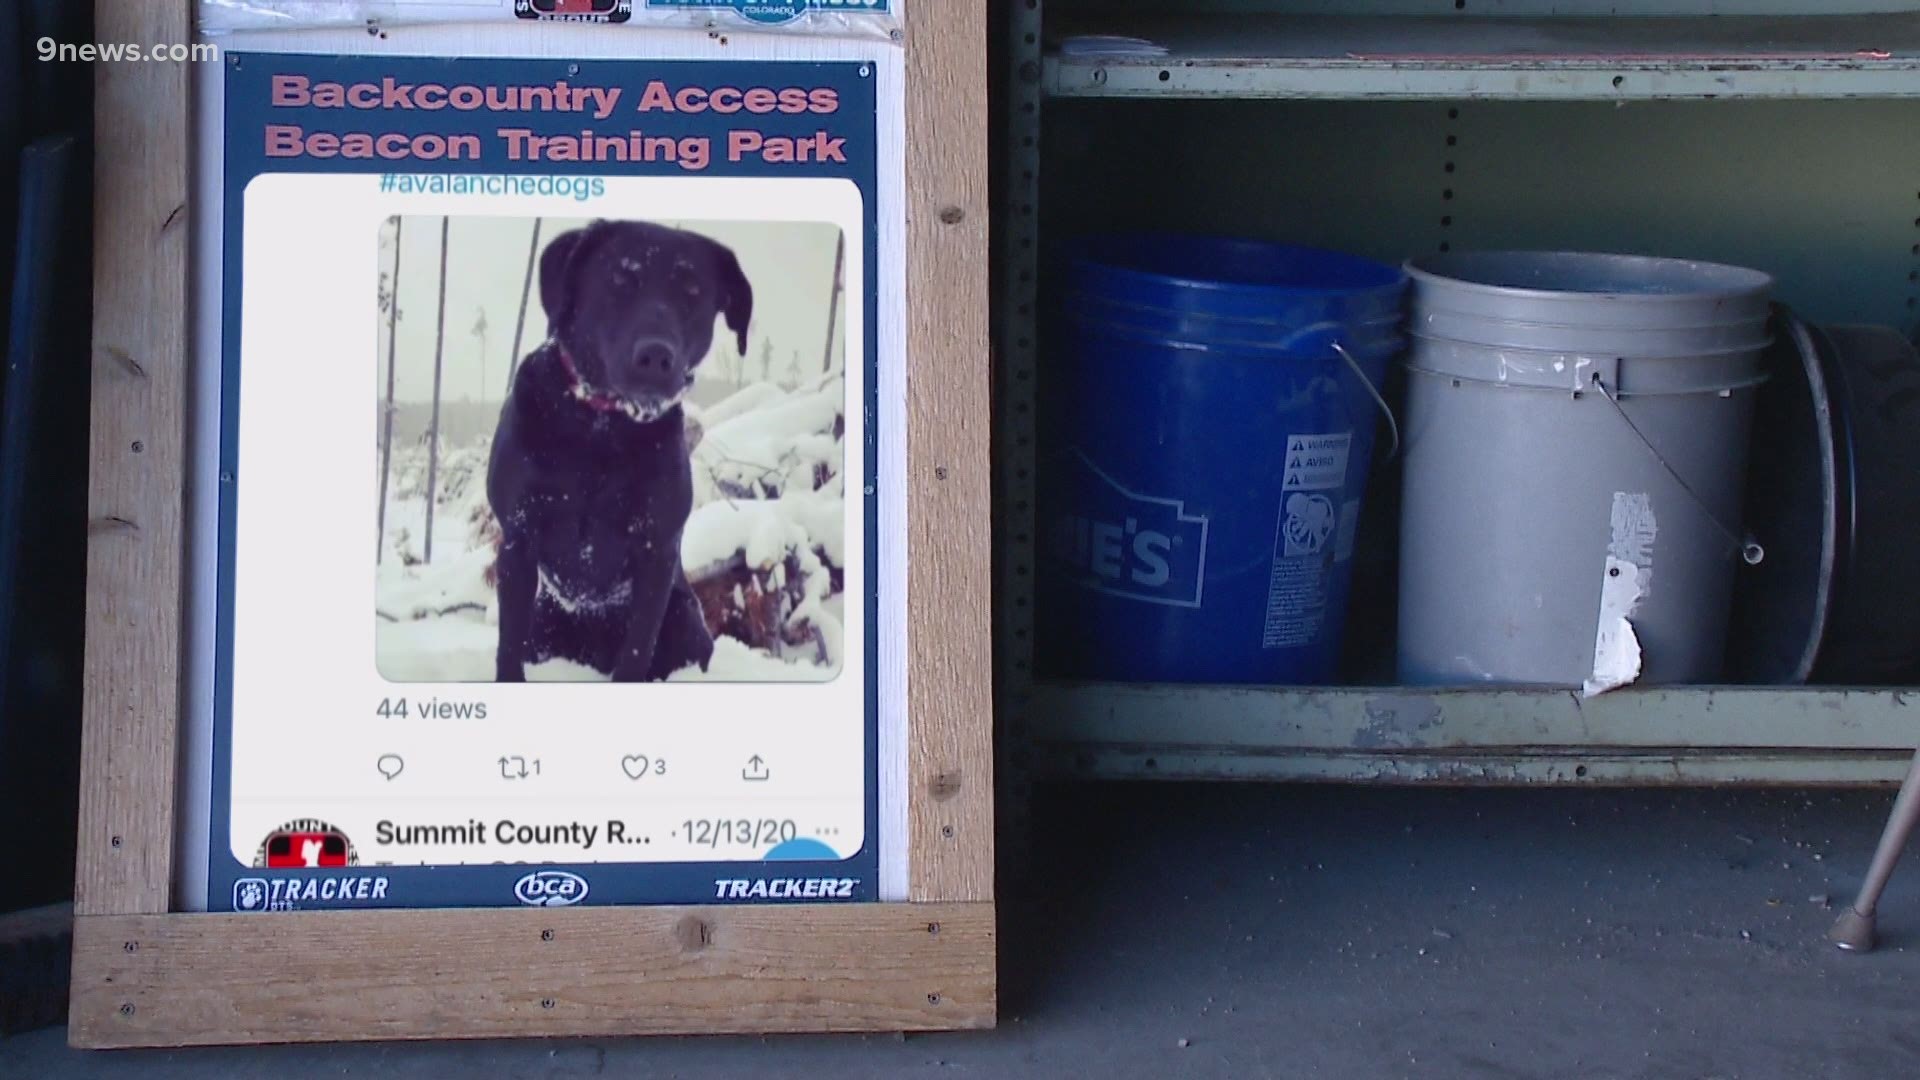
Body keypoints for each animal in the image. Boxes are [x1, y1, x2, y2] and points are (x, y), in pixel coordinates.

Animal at [487, 216, 748, 680]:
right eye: (620, 279)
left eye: (693, 292)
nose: (656, 357)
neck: (600, 431)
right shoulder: (517, 535)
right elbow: (509, 644)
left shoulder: (656, 550)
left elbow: (637, 650)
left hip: (685, 623)